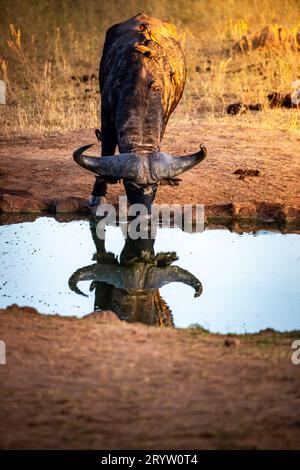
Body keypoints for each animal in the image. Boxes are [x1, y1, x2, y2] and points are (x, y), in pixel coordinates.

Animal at [74, 13, 207, 211]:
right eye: (130, 185)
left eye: (155, 185)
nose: (142, 209)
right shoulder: (106, 117)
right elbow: (105, 151)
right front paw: (98, 194)